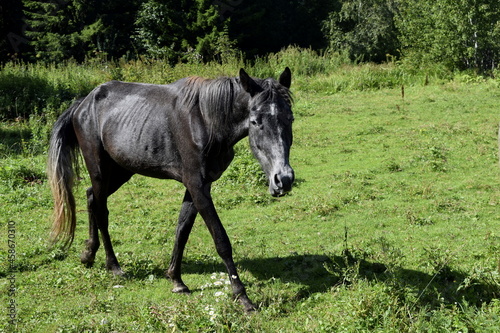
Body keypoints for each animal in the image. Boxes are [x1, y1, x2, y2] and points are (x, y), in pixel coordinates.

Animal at [45, 67, 294, 312]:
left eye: (290, 118)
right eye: (255, 121)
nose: (283, 179)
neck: (205, 121)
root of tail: (83, 103)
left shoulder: (198, 186)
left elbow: (182, 230)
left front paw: (176, 279)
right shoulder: (197, 185)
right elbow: (221, 241)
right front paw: (242, 297)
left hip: (121, 171)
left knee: (90, 197)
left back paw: (88, 254)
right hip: (99, 170)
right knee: (101, 210)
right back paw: (113, 265)